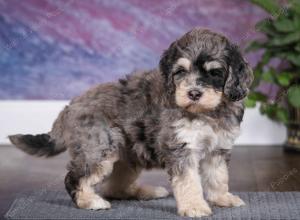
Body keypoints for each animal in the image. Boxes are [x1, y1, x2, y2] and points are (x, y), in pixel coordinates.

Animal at [9, 27, 252, 218]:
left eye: (215, 72)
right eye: (181, 71)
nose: (193, 93)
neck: (207, 112)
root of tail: (70, 106)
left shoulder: (218, 149)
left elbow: (218, 177)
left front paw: (223, 198)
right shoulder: (181, 149)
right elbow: (189, 181)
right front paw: (194, 206)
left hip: (128, 153)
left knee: (115, 186)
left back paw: (147, 192)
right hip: (99, 149)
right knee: (76, 178)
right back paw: (91, 202)